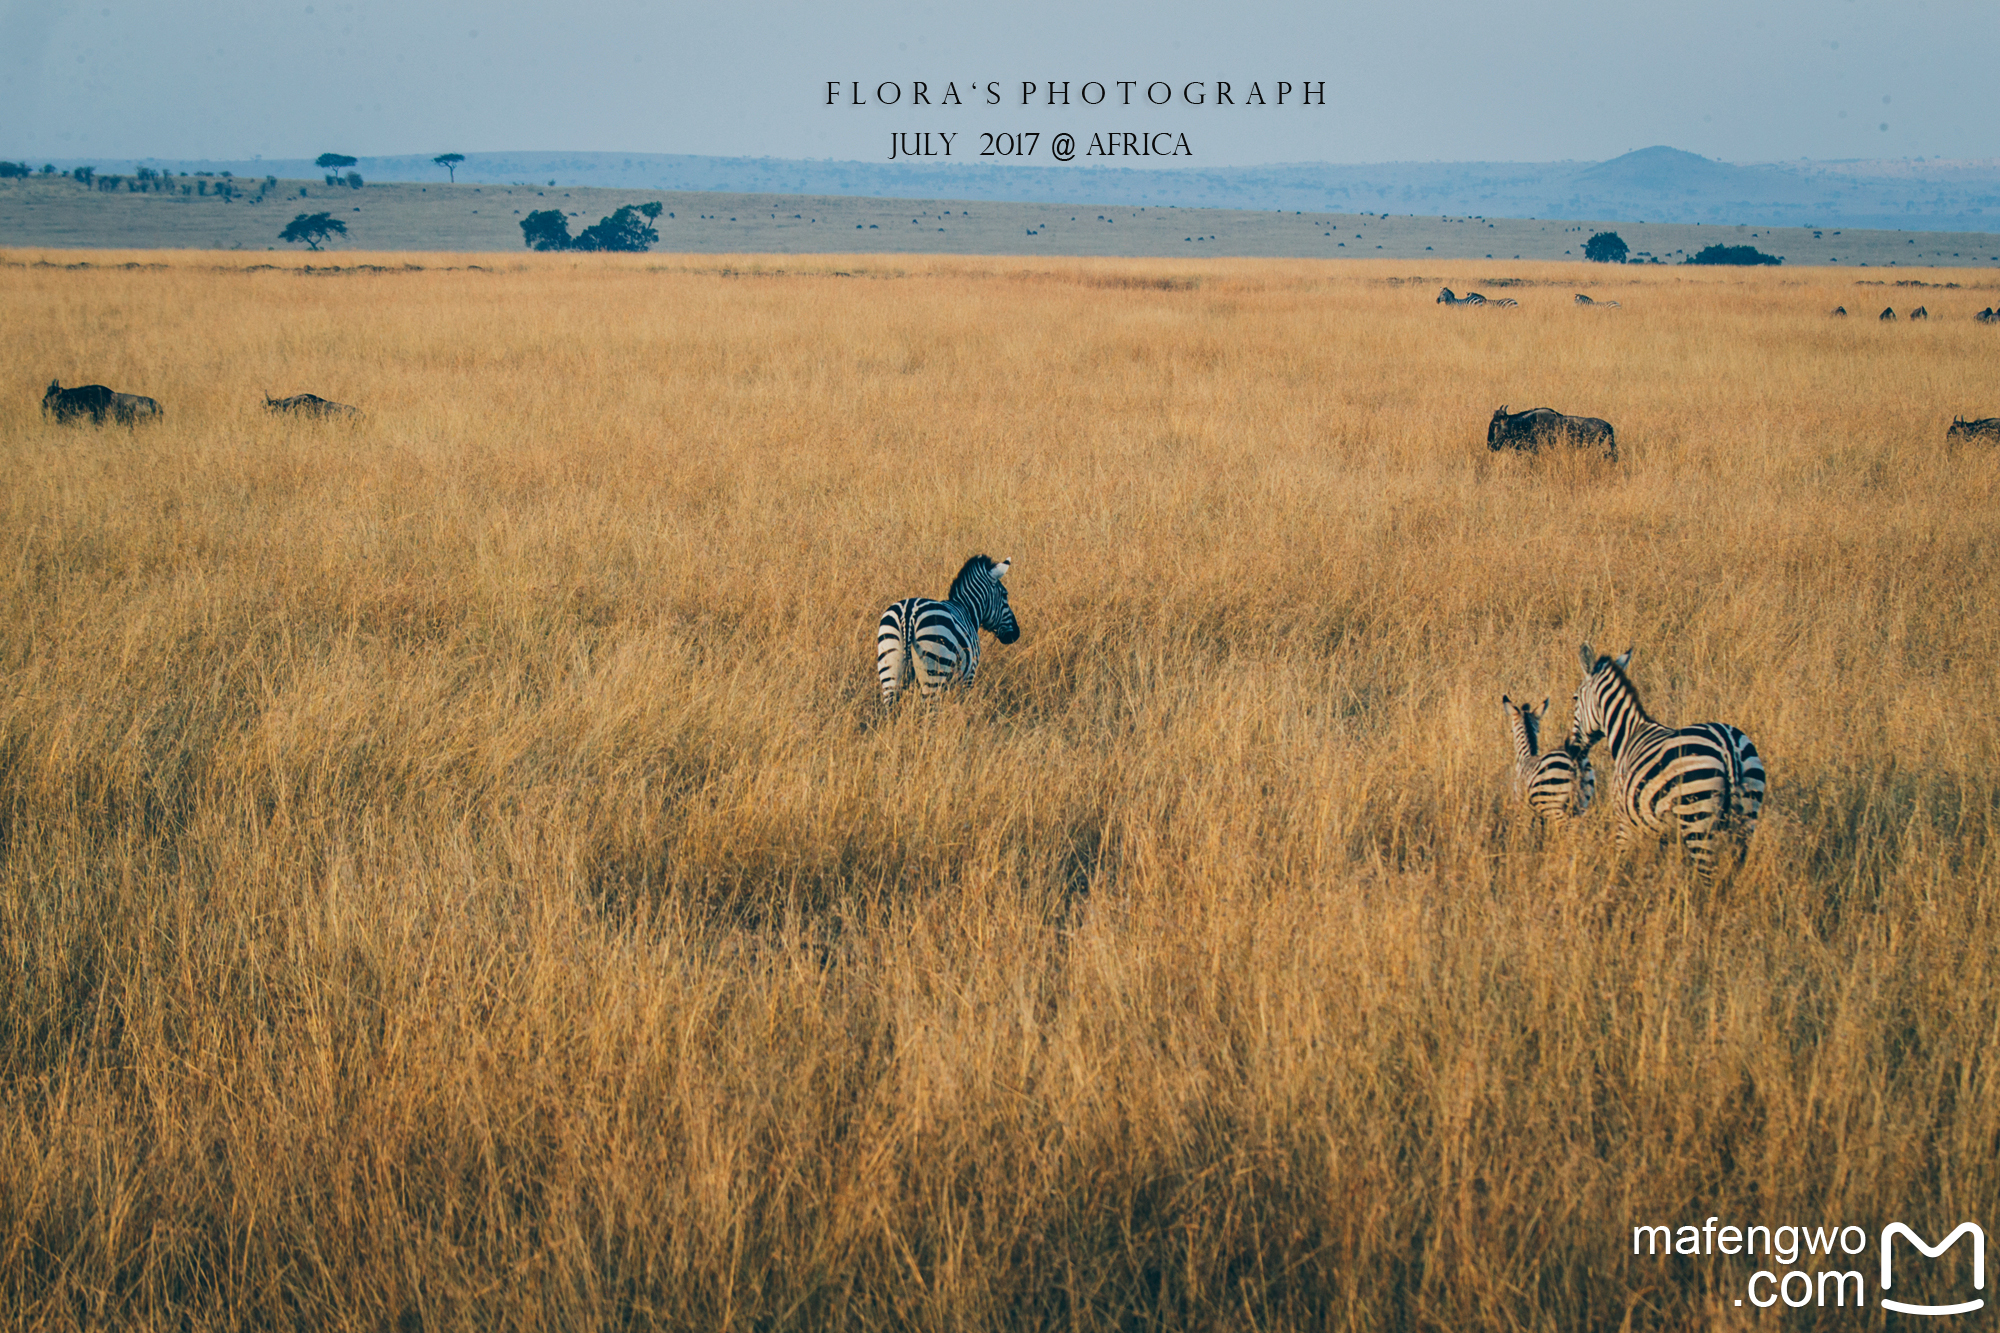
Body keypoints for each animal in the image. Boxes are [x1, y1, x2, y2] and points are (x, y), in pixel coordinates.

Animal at [880, 552, 1024, 704]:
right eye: (1005, 595)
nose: (1016, 634)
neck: (967, 608)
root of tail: (909, 614)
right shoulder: (969, 675)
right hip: (934, 669)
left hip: (890, 670)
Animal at [1560, 644, 1768, 880]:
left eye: (1574, 698)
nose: (1571, 748)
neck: (1628, 734)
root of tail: (1728, 745)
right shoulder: (1660, 830)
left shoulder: (1624, 819)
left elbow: (1620, 858)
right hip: (1748, 813)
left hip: (1697, 818)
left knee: (1707, 874)